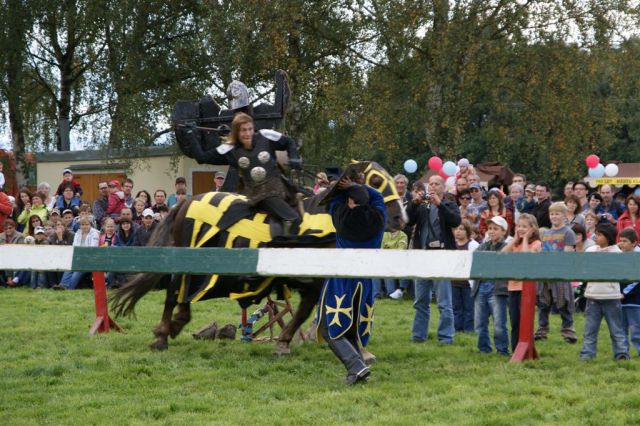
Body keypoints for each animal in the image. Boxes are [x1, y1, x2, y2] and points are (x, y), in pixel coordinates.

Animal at [111, 160, 404, 352]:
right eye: (376, 181)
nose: (400, 218)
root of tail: (185, 202)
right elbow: (305, 311)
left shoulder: (313, 283)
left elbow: (304, 311)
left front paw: (285, 341)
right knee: (174, 293)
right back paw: (162, 335)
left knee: (182, 297)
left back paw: (173, 326)